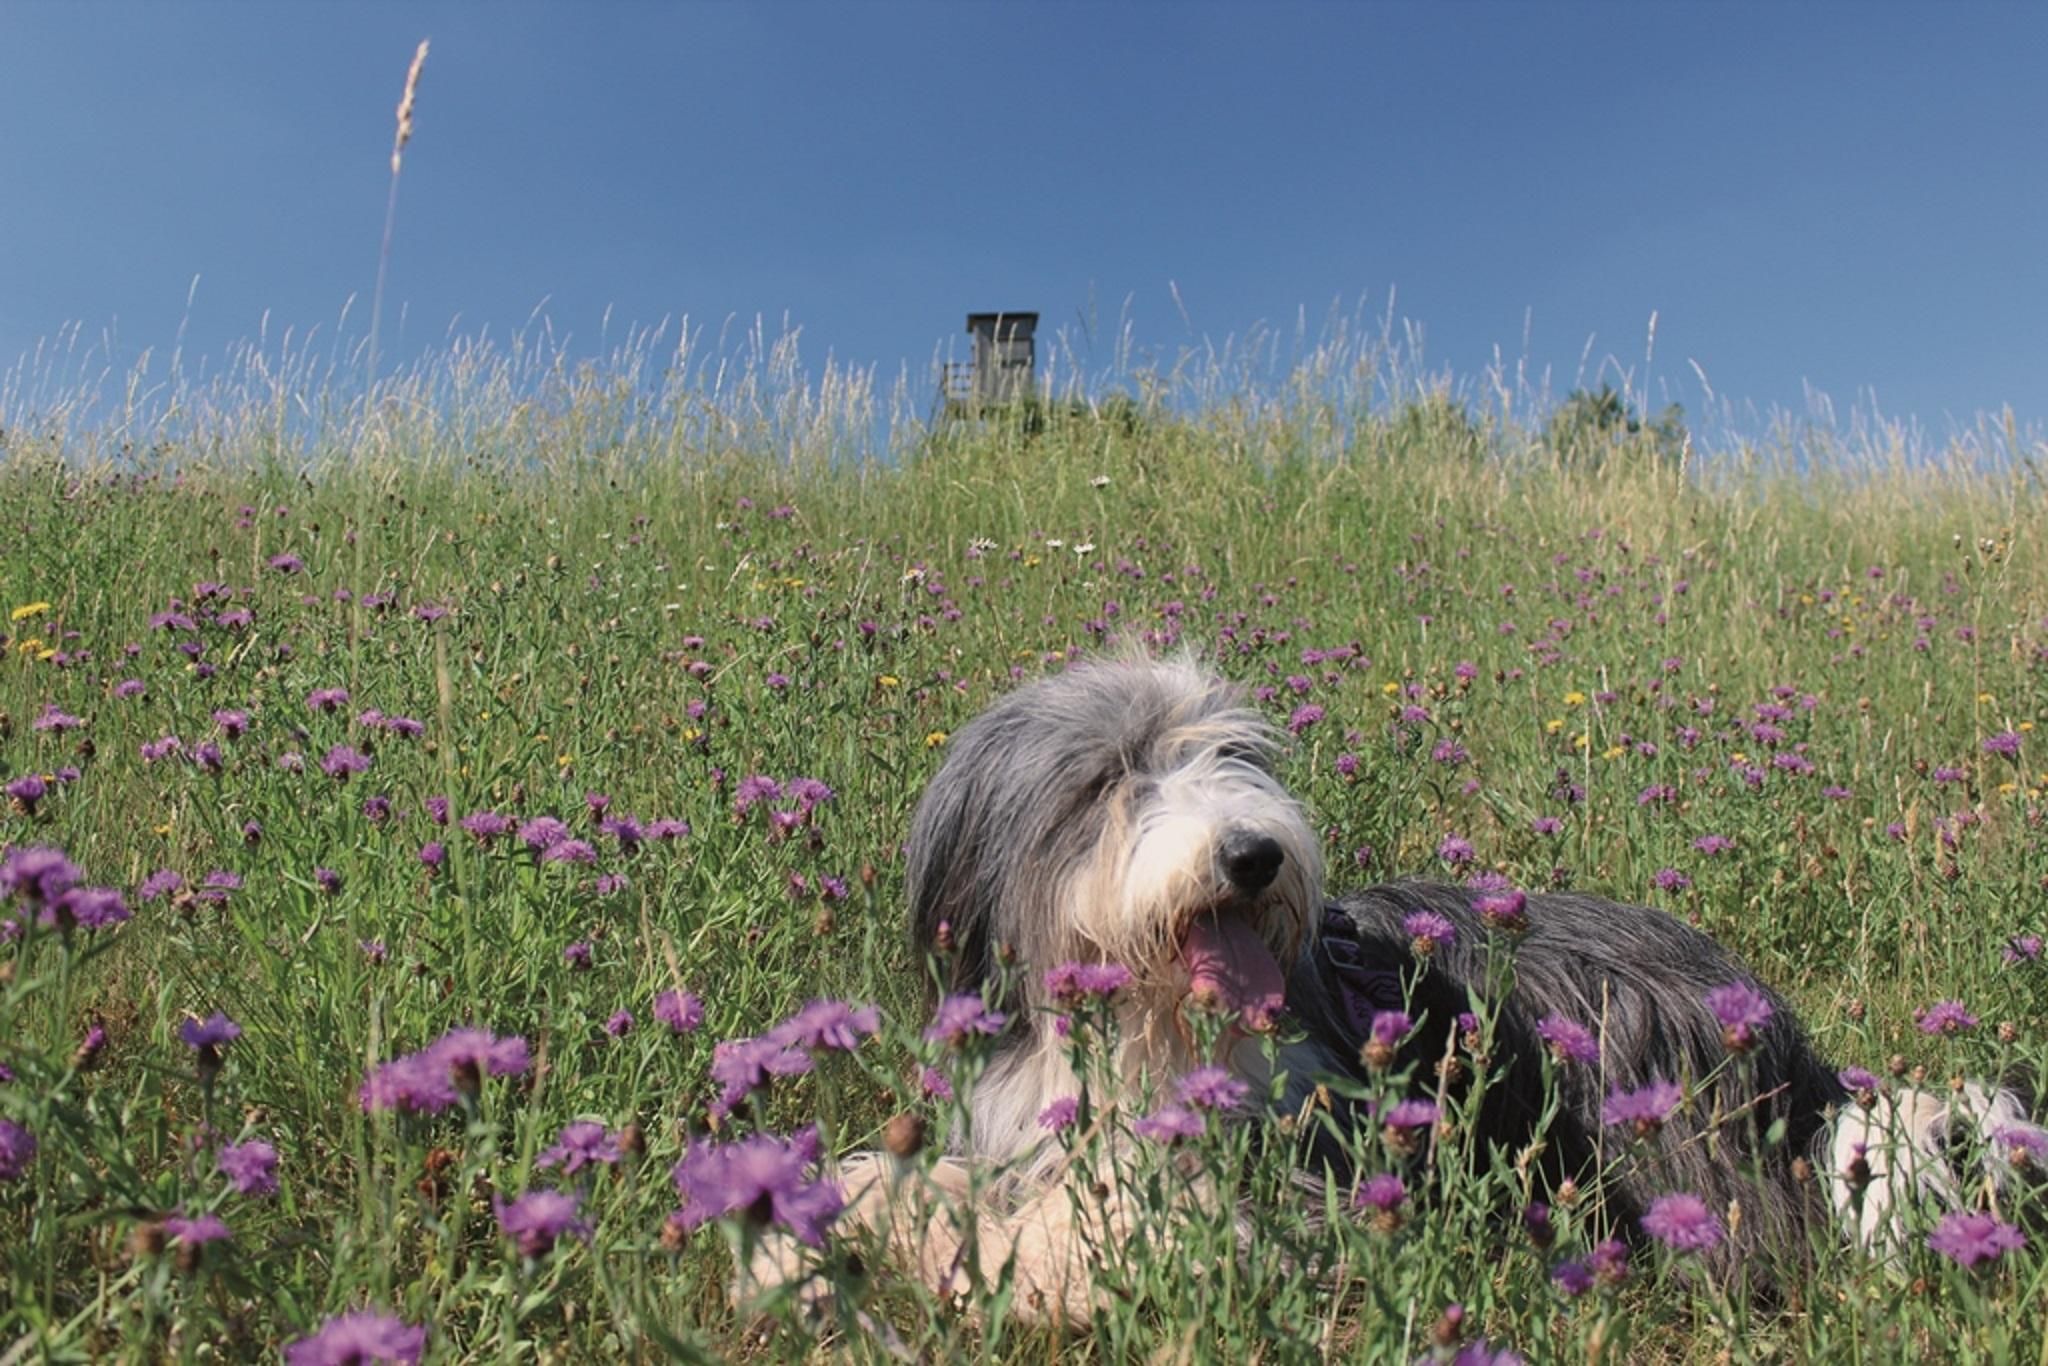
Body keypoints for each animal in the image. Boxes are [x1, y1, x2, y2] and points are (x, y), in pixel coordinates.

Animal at [743, 655, 2040, 1325]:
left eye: (1229, 756)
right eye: (1109, 777)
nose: (1254, 854)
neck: (1146, 1034)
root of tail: (1782, 1042)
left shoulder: (1280, 1187)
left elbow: (1076, 1229)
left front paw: (961, 1261)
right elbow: (911, 1174)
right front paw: (803, 1235)